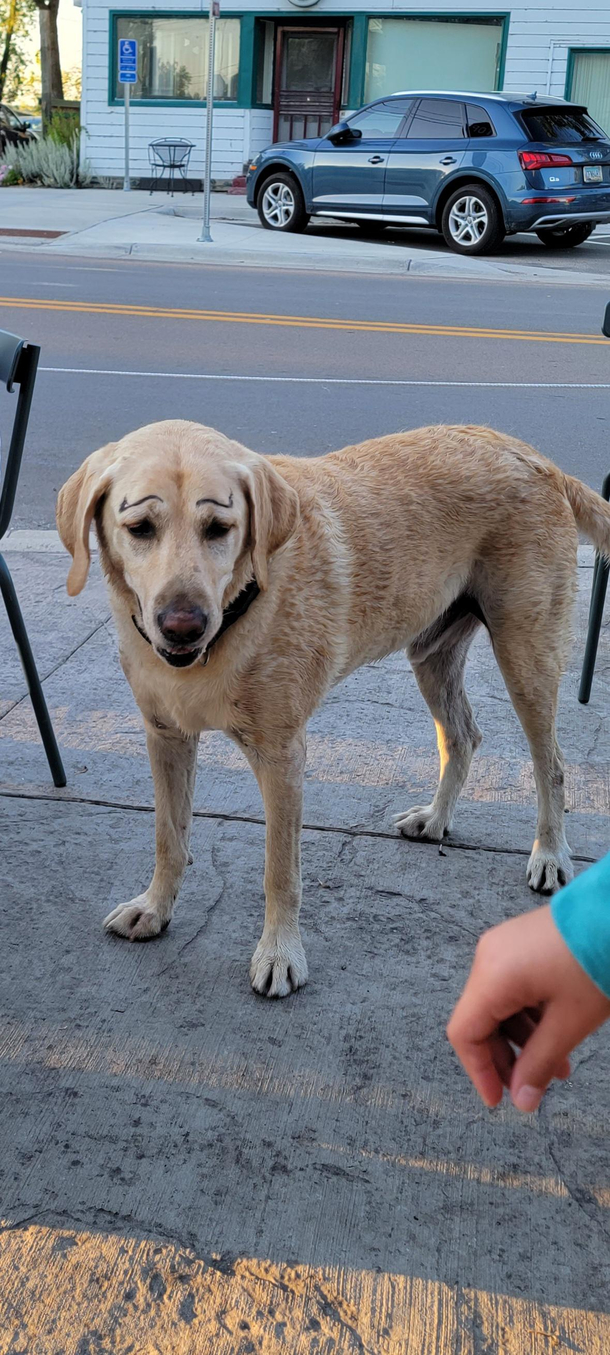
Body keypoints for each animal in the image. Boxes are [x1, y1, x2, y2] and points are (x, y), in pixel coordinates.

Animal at [57, 420, 610, 997]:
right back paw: (436, 818)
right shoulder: (164, 737)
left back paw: (550, 853)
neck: (237, 609)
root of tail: (536, 457)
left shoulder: (282, 758)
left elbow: (280, 870)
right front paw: (156, 907)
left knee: (552, 765)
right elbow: (169, 836)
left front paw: (280, 953)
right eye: (139, 527)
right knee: (463, 736)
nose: (182, 626)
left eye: (218, 528)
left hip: (526, 659)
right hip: (431, 656)